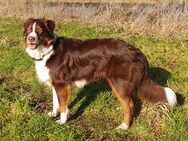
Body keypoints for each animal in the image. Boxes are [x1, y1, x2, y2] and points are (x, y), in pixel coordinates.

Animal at [22, 18, 177, 130]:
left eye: (40, 30)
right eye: (29, 30)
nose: (31, 38)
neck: (48, 50)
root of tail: (137, 52)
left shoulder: (61, 85)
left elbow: (63, 106)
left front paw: (62, 121)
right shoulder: (56, 84)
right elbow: (56, 102)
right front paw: (54, 114)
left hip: (118, 83)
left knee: (129, 104)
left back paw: (124, 126)